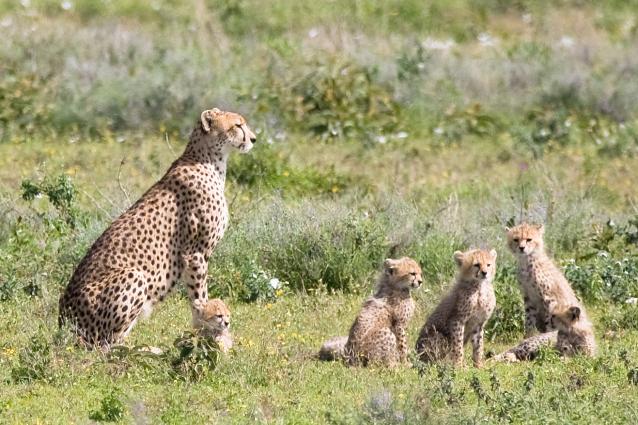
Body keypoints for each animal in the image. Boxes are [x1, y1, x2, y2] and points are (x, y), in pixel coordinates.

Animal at [58, 107, 256, 346]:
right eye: (238, 125)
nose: (253, 139)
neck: (208, 160)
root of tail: (63, 320)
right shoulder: (195, 253)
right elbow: (199, 295)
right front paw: (205, 327)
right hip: (134, 276)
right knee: (107, 344)